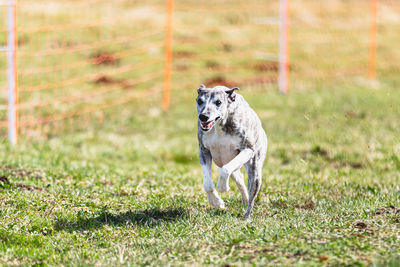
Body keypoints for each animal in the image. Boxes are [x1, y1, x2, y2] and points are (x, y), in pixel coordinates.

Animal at [197, 84, 268, 220]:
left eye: (218, 102)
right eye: (199, 101)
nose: (203, 116)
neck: (219, 126)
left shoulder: (248, 150)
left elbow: (225, 170)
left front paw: (222, 187)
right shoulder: (204, 151)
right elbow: (207, 183)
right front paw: (217, 202)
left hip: (255, 169)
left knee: (252, 190)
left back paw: (247, 215)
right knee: (239, 177)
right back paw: (244, 199)